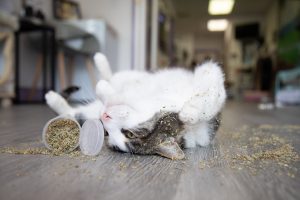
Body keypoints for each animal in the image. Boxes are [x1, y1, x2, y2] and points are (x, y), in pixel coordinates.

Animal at [45, 52, 226, 159]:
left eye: (129, 134)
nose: (104, 117)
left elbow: (211, 95)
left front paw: (190, 112)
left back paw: (52, 98)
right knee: (114, 77)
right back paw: (99, 59)